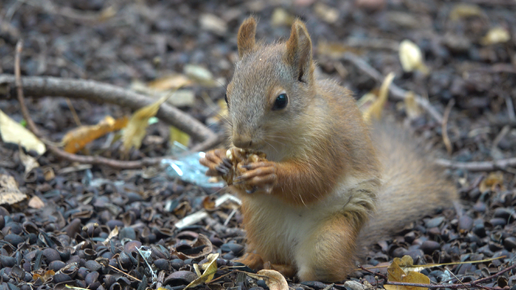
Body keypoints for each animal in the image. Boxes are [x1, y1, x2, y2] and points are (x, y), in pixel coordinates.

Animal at [200, 17, 458, 282]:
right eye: (226, 95)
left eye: (281, 100)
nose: (241, 140)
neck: (278, 142)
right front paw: (217, 160)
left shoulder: (328, 142)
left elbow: (314, 179)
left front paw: (270, 173)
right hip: (259, 224)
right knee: (271, 254)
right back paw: (251, 260)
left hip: (330, 239)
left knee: (323, 270)